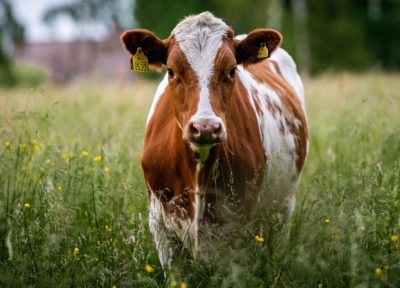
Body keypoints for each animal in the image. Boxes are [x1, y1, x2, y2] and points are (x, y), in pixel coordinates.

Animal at [120, 11, 308, 268]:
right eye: (171, 71)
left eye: (232, 70)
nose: (205, 127)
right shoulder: (161, 228)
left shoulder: (238, 227)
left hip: (283, 205)